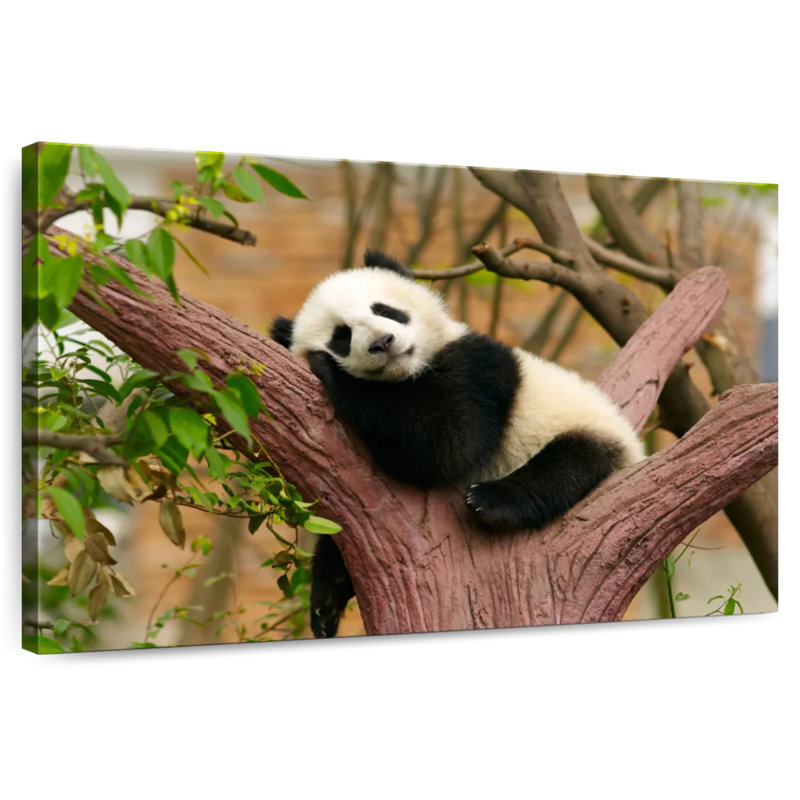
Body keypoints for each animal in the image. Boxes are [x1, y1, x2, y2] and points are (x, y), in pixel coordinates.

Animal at [271, 250, 644, 637]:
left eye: (385, 310)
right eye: (341, 336)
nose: (383, 342)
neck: (407, 373)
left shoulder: (477, 368)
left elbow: (449, 443)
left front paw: (329, 370)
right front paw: (326, 599)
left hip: (588, 430)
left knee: (568, 465)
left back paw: (492, 500)